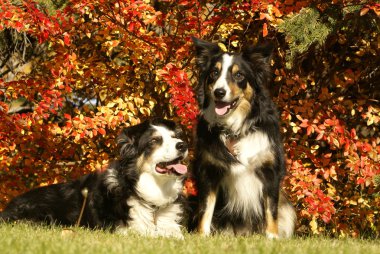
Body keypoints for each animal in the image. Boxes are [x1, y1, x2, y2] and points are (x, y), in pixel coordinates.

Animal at [0, 117, 189, 238]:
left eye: (175, 138)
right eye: (154, 141)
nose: (183, 145)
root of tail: (6, 209)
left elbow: (177, 235)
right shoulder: (121, 229)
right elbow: (151, 233)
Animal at [189, 37, 296, 238]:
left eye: (239, 75)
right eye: (214, 73)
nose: (219, 92)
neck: (235, 129)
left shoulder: (270, 171)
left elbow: (271, 209)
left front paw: (271, 237)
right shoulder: (209, 171)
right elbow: (206, 208)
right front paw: (202, 236)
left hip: (288, 208)